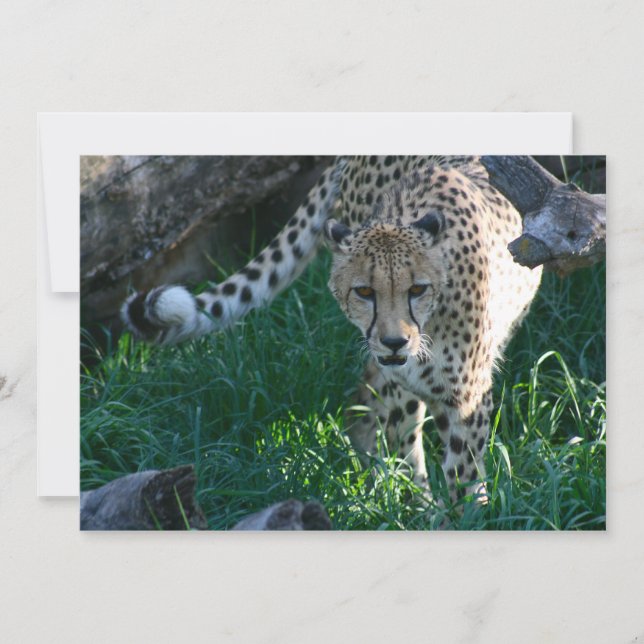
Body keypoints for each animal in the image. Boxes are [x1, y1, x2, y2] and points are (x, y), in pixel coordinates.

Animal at [122, 155, 542, 507]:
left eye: (417, 289)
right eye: (365, 292)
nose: (394, 342)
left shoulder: (467, 396)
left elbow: (463, 474)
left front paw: (466, 516)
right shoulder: (406, 386)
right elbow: (409, 451)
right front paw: (422, 510)